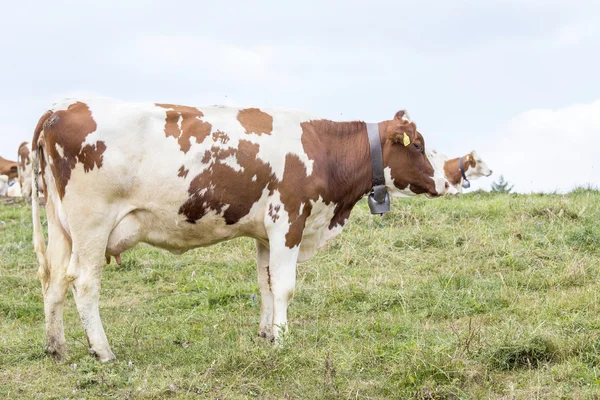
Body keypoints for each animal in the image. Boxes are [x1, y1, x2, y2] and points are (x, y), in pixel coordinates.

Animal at [31, 97, 454, 362]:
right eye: (417, 145)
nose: (448, 180)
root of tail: (62, 107)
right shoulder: (288, 220)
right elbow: (284, 287)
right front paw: (283, 340)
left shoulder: (266, 232)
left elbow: (266, 284)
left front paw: (266, 335)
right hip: (92, 223)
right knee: (84, 283)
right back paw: (103, 351)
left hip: (60, 226)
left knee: (53, 281)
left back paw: (56, 348)